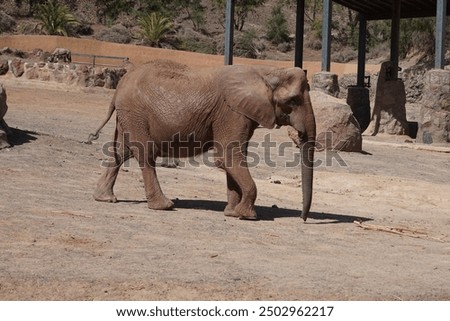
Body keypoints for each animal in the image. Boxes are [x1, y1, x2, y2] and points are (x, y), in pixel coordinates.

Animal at [89, 59, 316, 220]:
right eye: (293, 101)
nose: (303, 218)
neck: (268, 72)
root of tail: (119, 86)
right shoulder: (231, 112)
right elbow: (228, 157)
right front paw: (246, 215)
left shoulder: (241, 114)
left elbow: (234, 157)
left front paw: (231, 212)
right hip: (135, 114)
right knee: (144, 154)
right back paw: (164, 206)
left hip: (128, 116)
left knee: (121, 152)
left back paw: (105, 198)